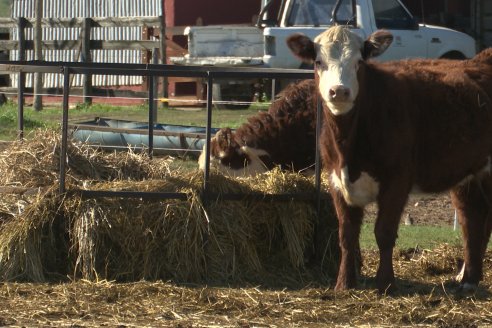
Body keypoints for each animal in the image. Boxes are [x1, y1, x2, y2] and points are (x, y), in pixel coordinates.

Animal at [286, 25, 492, 292]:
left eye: (359, 62)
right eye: (318, 62)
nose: (339, 91)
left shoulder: (397, 180)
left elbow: (383, 232)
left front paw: (385, 283)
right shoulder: (336, 181)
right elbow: (346, 234)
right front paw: (344, 283)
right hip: (471, 174)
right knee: (473, 219)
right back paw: (467, 280)